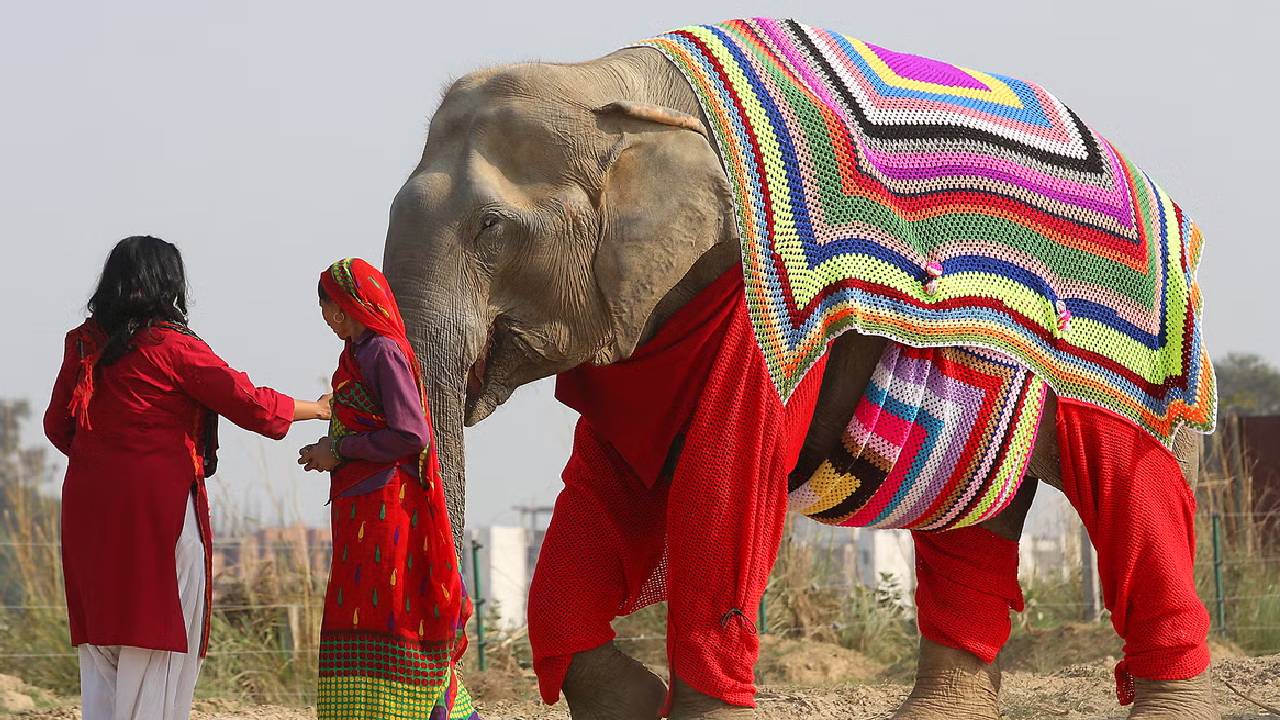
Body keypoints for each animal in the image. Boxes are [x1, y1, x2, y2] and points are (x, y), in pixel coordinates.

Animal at [381, 34, 1214, 720]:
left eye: (490, 228)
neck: (607, 81)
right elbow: (603, 481)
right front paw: (640, 705)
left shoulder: (754, 300)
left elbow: (723, 478)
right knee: (975, 527)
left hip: (1140, 363)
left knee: (1136, 495)